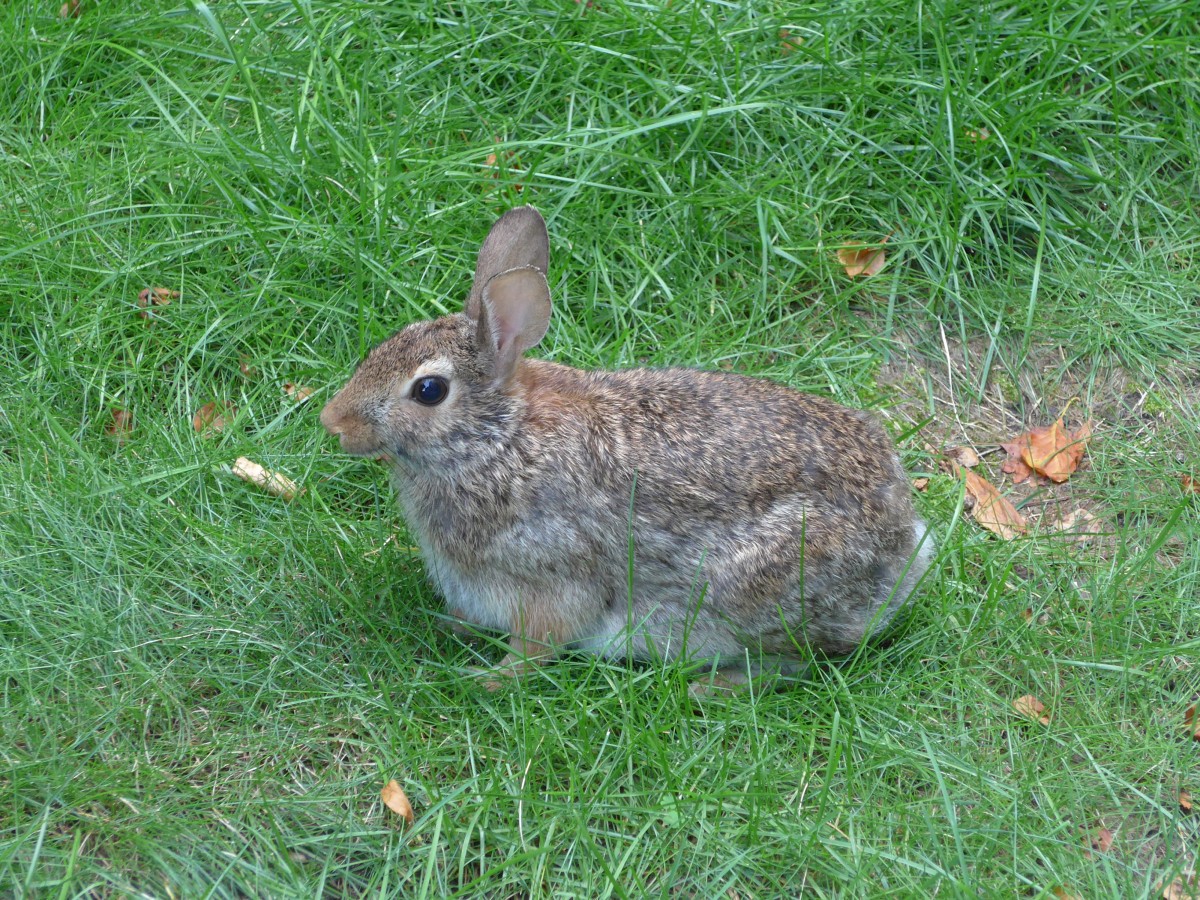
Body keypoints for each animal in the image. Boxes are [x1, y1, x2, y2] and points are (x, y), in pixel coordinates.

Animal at [320, 206, 933, 691]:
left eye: (428, 391)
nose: (332, 422)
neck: (497, 439)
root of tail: (904, 542)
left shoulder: (550, 579)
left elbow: (537, 647)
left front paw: (483, 680)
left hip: (755, 589)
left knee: (800, 661)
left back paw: (713, 688)